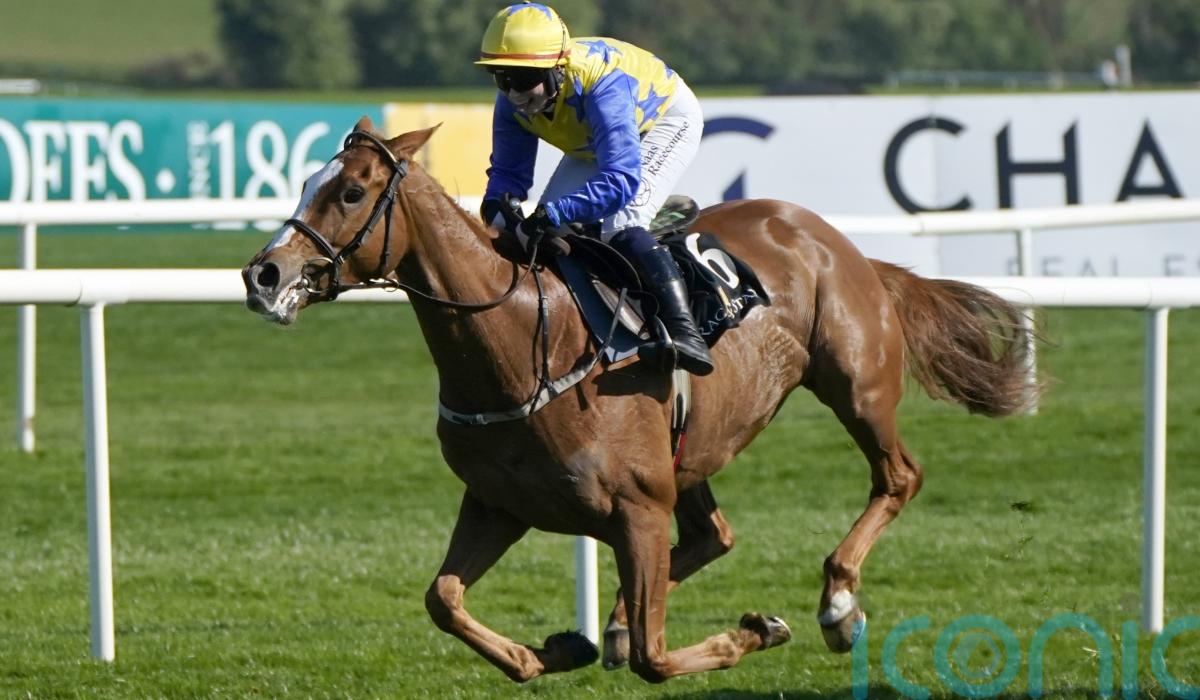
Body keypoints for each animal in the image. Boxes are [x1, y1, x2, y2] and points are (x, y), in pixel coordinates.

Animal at [241, 117, 1032, 683]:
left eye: (350, 192)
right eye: (308, 180)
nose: (262, 273)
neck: (520, 343)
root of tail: (835, 239)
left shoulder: (637, 507)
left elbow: (657, 658)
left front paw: (754, 631)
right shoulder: (499, 503)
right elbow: (444, 600)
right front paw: (561, 647)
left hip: (855, 384)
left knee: (898, 477)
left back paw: (837, 605)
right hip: (691, 447)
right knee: (713, 536)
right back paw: (618, 621)